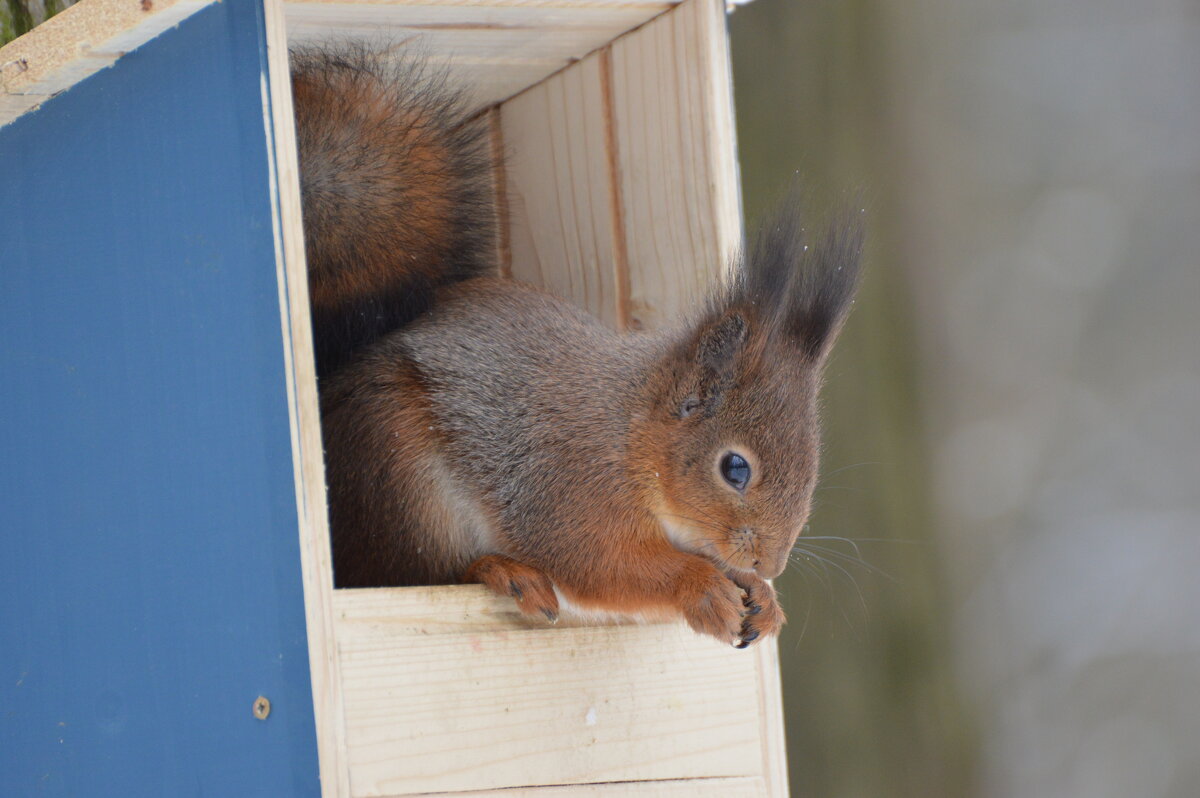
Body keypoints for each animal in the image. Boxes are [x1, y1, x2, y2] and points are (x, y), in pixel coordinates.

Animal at [291, 45, 864, 648]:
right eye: (735, 469)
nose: (771, 564)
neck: (629, 437)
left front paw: (764, 598)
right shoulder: (565, 489)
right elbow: (601, 564)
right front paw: (702, 587)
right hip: (403, 479)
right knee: (419, 571)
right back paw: (503, 570)